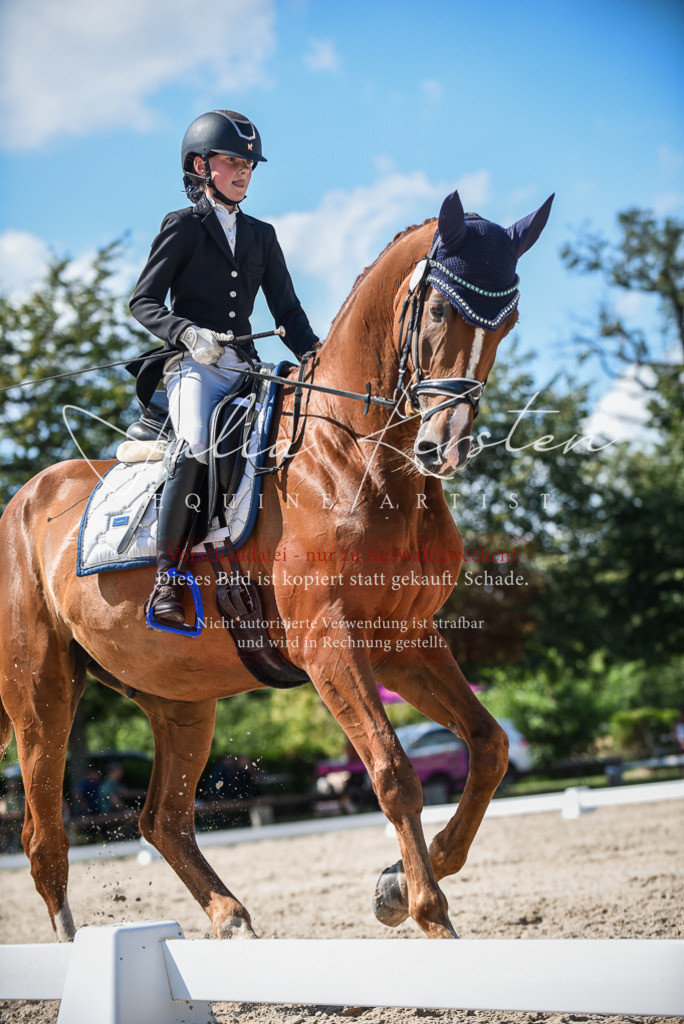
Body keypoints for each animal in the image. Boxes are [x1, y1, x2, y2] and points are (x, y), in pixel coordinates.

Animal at [0, 189, 552, 942]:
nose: (445, 447)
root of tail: (23, 500)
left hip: (178, 696)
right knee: (42, 834)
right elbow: (393, 771)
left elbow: (489, 746)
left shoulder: (402, 639)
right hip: (39, 692)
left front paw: (394, 885)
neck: (356, 458)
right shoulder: (327, 642)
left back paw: (231, 919)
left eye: (510, 319)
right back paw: (73, 942)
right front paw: (428, 913)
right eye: (438, 310)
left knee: (163, 819)